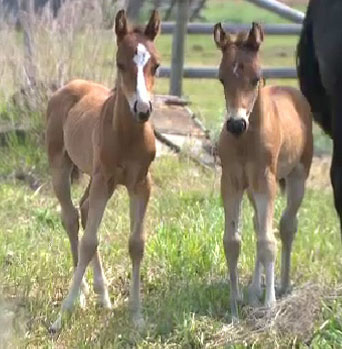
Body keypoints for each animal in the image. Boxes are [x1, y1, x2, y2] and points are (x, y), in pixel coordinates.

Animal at [46, 9, 161, 330]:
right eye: (120, 64)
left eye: (156, 65)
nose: (142, 109)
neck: (127, 135)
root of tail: (69, 85)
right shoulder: (103, 179)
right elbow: (89, 241)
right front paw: (63, 313)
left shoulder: (140, 184)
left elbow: (136, 243)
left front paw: (136, 314)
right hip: (62, 167)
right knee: (72, 217)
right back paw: (85, 292)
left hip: (98, 179)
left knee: (84, 210)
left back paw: (103, 296)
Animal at [214, 21, 312, 316]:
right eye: (222, 79)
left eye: (256, 78)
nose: (236, 124)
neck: (246, 140)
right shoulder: (232, 181)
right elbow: (233, 240)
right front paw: (235, 301)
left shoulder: (265, 180)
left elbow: (268, 242)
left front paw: (270, 304)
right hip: (251, 189)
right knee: (259, 225)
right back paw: (255, 290)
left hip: (297, 176)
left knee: (287, 226)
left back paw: (283, 285)